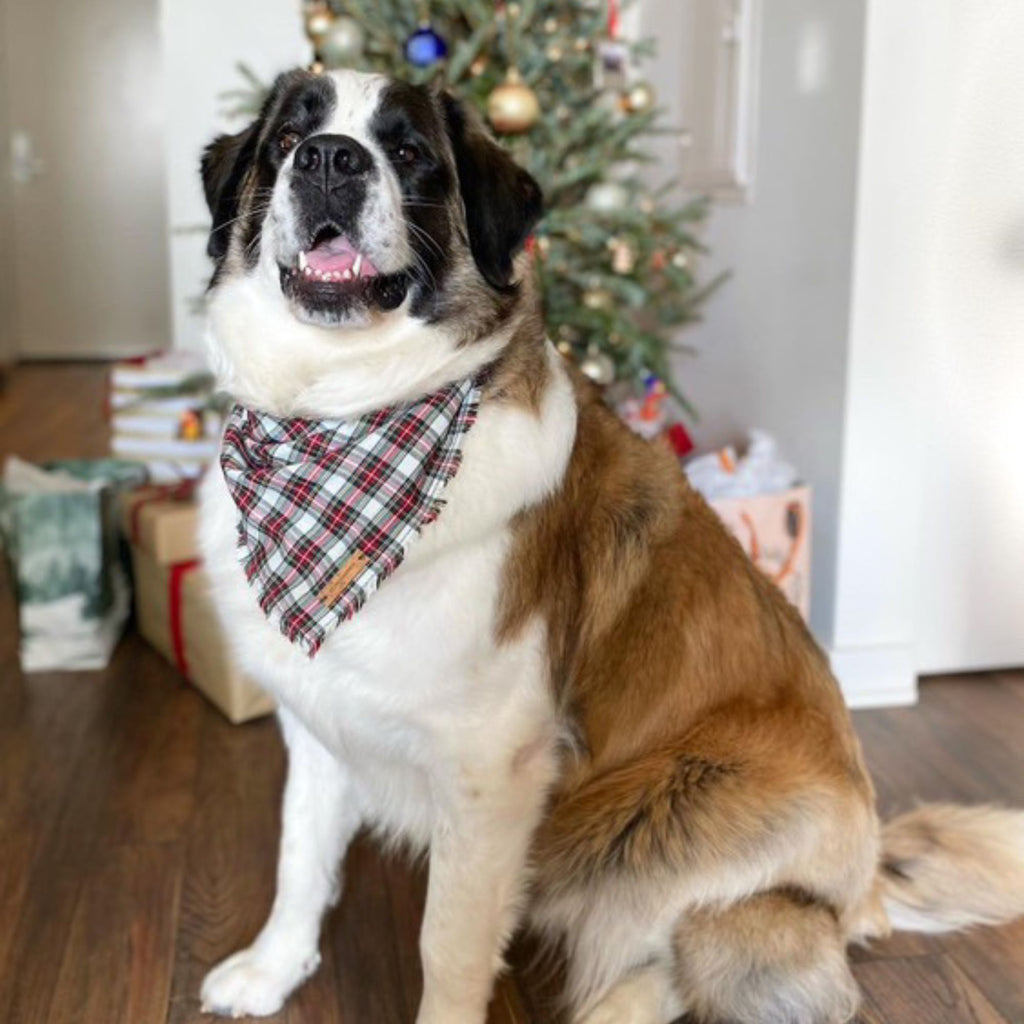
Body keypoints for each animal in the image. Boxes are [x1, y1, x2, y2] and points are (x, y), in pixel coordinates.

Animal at [193, 68, 1024, 1019]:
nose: (331, 159)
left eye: (406, 151)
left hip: (665, 820)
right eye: (289, 138)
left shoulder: (492, 771)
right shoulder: (319, 717)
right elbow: (299, 856)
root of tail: (867, 881)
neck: (342, 423)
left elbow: (448, 943)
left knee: (693, 958)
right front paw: (272, 968)